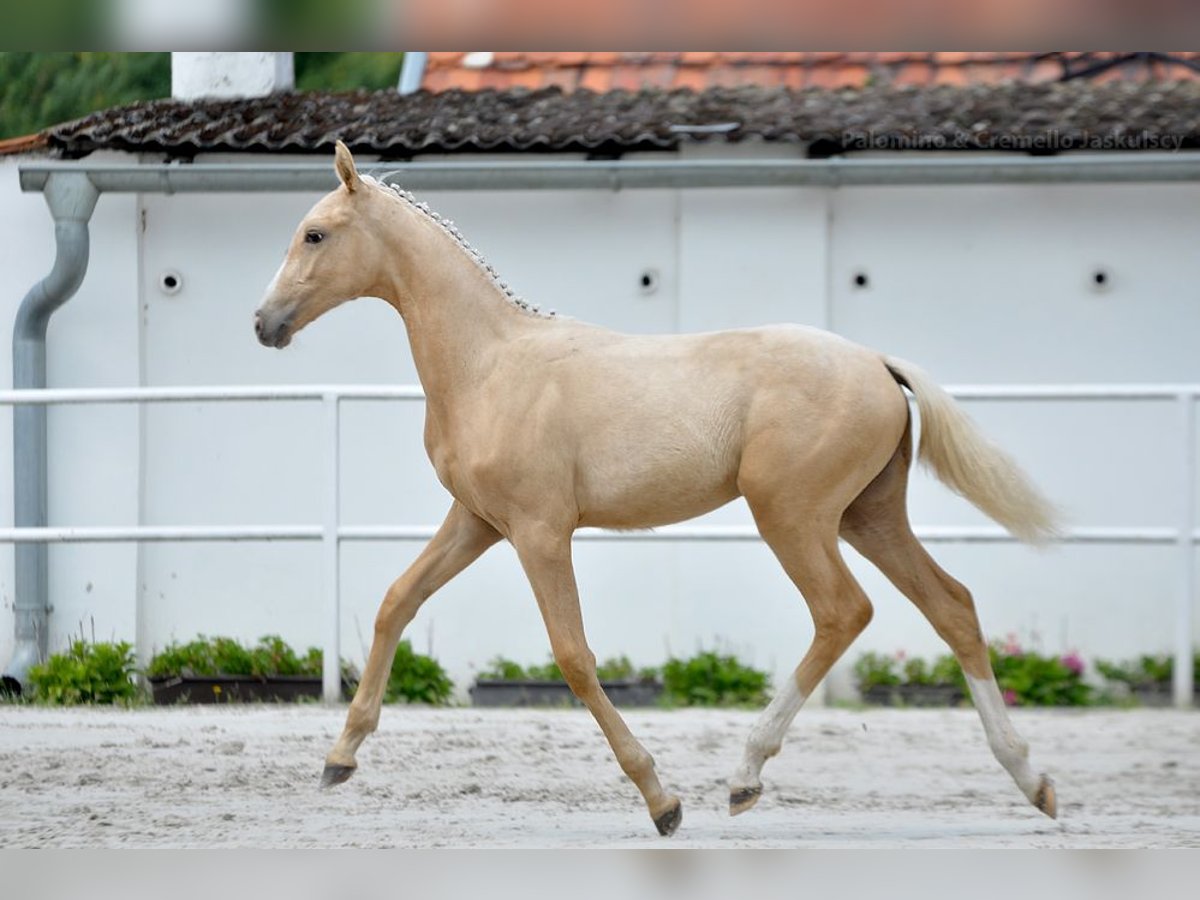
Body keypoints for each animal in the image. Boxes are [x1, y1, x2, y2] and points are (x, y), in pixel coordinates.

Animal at [254, 141, 1060, 836]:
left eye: (315, 234)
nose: (264, 324)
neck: (490, 364)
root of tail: (877, 363)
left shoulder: (540, 531)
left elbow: (574, 656)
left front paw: (662, 801)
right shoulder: (477, 521)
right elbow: (397, 601)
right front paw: (338, 760)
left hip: (793, 515)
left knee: (844, 611)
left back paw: (745, 776)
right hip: (869, 515)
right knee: (952, 606)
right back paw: (1032, 780)